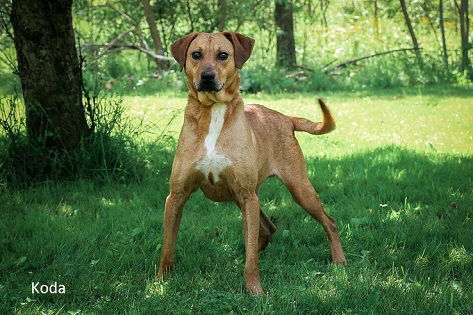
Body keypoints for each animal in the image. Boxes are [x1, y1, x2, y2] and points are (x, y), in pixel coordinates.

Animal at [157, 32, 344, 296]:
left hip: (298, 189)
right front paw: (160, 284)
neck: (213, 113)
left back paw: (339, 260)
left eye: (223, 55)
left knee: (329, 222)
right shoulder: (176, 195)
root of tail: (286, 118)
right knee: (268, 229)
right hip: (246, 198)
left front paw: (255, 290)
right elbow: (167, 246)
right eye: (196, 54)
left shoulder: (247, 196)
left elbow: (251, 258)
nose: (207, 77)